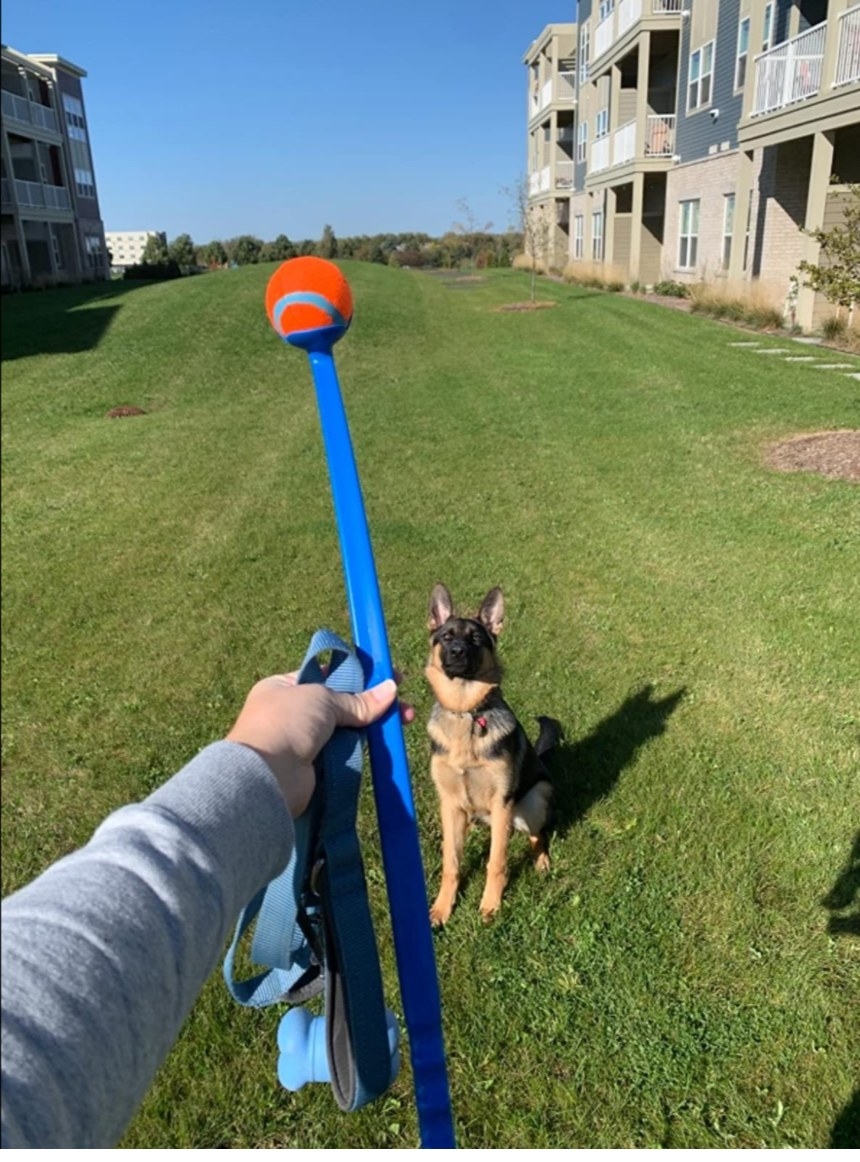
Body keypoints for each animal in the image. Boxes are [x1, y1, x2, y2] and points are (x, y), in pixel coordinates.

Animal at [425, 581, 560, 924]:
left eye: (475, 639)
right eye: (447, 637)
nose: (458, 652)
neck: (466, 713)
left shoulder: (502, 804)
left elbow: (495, 862)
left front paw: (490, 905)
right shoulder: (449, 802)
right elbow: (451, 864)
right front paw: (442, 907)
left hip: (532, 803)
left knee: (538, 835)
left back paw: (541, 862)